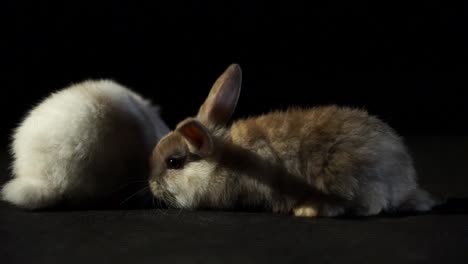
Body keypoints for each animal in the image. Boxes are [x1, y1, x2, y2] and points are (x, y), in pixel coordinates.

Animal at [148, 63, 436, 217]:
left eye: (173, 162)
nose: (151, 185)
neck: (224, 161)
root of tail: (405, 182)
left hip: (342, 176)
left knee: (369, 206)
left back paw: (308, 209)